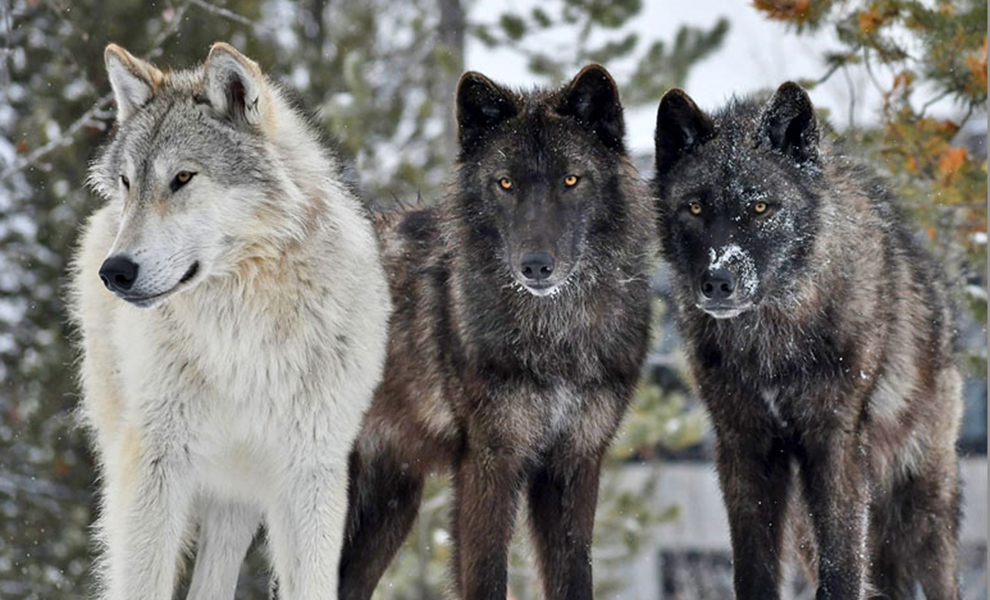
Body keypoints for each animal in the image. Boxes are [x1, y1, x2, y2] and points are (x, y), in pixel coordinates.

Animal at [70, 42, 392, 600]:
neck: (243, 334)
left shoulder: (311, 474)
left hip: (237, 499)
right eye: (128, 183)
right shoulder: (155, 466)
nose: (115, 272)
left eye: (182, 177)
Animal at [340, 65, 660, 600]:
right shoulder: (491, 461)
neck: (556, 335)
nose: (535, 265)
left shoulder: (574, 464)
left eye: (571, 180)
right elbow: (487, 576)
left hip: (390, 505)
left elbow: (574, 576)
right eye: (505, 183)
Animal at [656, 83, 964, 600]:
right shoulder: (744, 445)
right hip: (805, 519)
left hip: (921, 503)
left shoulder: (835, 441)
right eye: (695, 208)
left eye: (760, 207)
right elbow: (754, 568)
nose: (716, 281)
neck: (771, 341)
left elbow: (842, 566)